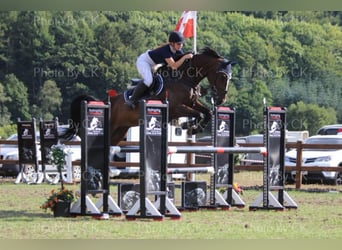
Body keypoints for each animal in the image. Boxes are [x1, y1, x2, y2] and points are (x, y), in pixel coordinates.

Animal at [60, 46, 234, 146]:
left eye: (229, 77)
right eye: (222, 76)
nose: (221, 99)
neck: (184, 78)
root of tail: (103, 102)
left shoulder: (192, 103)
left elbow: (207, 112)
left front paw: (196, 126)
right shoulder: (176, 108)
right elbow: (198, 114)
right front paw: (190, 125)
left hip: (119, 131)